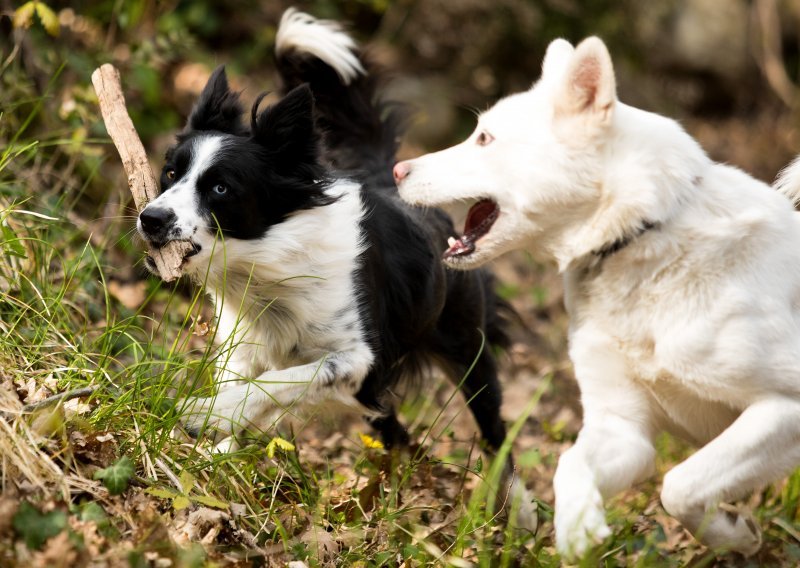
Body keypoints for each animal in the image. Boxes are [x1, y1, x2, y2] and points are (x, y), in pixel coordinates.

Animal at [138, 6, 536, 524]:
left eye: (221, 188)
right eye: (171, 173)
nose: (150, 218)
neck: (267, 266)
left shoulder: (360, 360)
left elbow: (283, 379)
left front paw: (209, 414)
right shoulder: (243, 348)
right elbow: (259, 385)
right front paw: (214, 453)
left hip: (467, 347)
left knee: (493, 432)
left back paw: (521, 513)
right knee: (397, 435)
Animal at [396, 36, 800, 560]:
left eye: (484, 138)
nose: (397, 168)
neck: (639, 237)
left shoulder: (784, 408)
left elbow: (679, 485)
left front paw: (731, 532)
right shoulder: (622, 429)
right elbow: (570, 464)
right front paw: (577, 531)